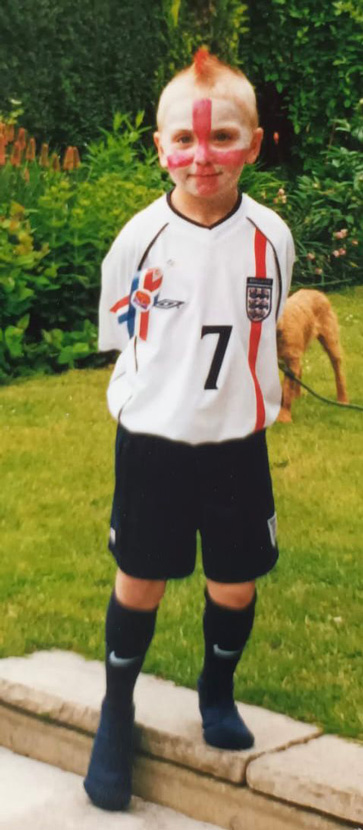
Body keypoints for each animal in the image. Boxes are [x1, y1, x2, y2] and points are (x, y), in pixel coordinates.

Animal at [278, 290, 348, 422]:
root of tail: (316, 291)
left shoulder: (291, 360)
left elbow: (287, 390)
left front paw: (284, 417)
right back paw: (297, 397)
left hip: (331, 341)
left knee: (338, 370)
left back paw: (343, 400)